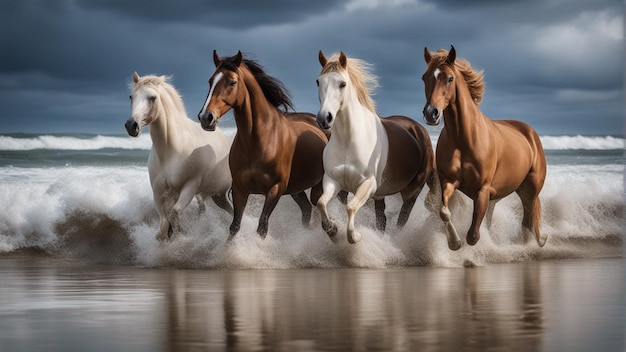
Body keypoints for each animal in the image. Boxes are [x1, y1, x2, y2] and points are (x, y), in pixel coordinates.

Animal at [124, 72, 232, 241]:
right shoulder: (159, 192)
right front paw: (169, 235)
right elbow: (164, 224)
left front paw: (182, 234)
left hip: (224, 193)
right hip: (217, 195)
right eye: (131, 96)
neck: (171, 150)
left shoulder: (190, 185)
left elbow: (174, 213)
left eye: (152, 97)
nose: (131, 126)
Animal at [197, 51, 330, 241]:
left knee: (320, 207)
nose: (206, 117)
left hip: (318, 185)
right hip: (296, 189)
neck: (257, 141)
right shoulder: (239, 189)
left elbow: (262, 227)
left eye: (232, 82)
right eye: (210, 81)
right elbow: (234, 226)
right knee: (306, 209)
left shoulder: (275, 189)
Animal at [312, 52, 434, 243]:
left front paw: (355, 236)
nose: (324, 118)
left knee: (401, 220)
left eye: (342, 83)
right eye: (319, 82)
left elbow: (351, 208)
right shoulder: (333, 181)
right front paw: (332, 230)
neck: (348, 140)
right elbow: (321, 203)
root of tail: (419, 130)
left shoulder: (367, 184)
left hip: (411, 193)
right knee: (381, 220)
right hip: (380, 196)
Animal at [420, 46, 544, 250]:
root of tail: (531, 133)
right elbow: (444, 212)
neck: (464, 139)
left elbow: (473, 235)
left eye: (450, 78)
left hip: (530, 191)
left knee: (528, 223)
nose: (431, 113)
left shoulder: (483, 190)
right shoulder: (449, 182)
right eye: (424, 77)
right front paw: (454, 242)